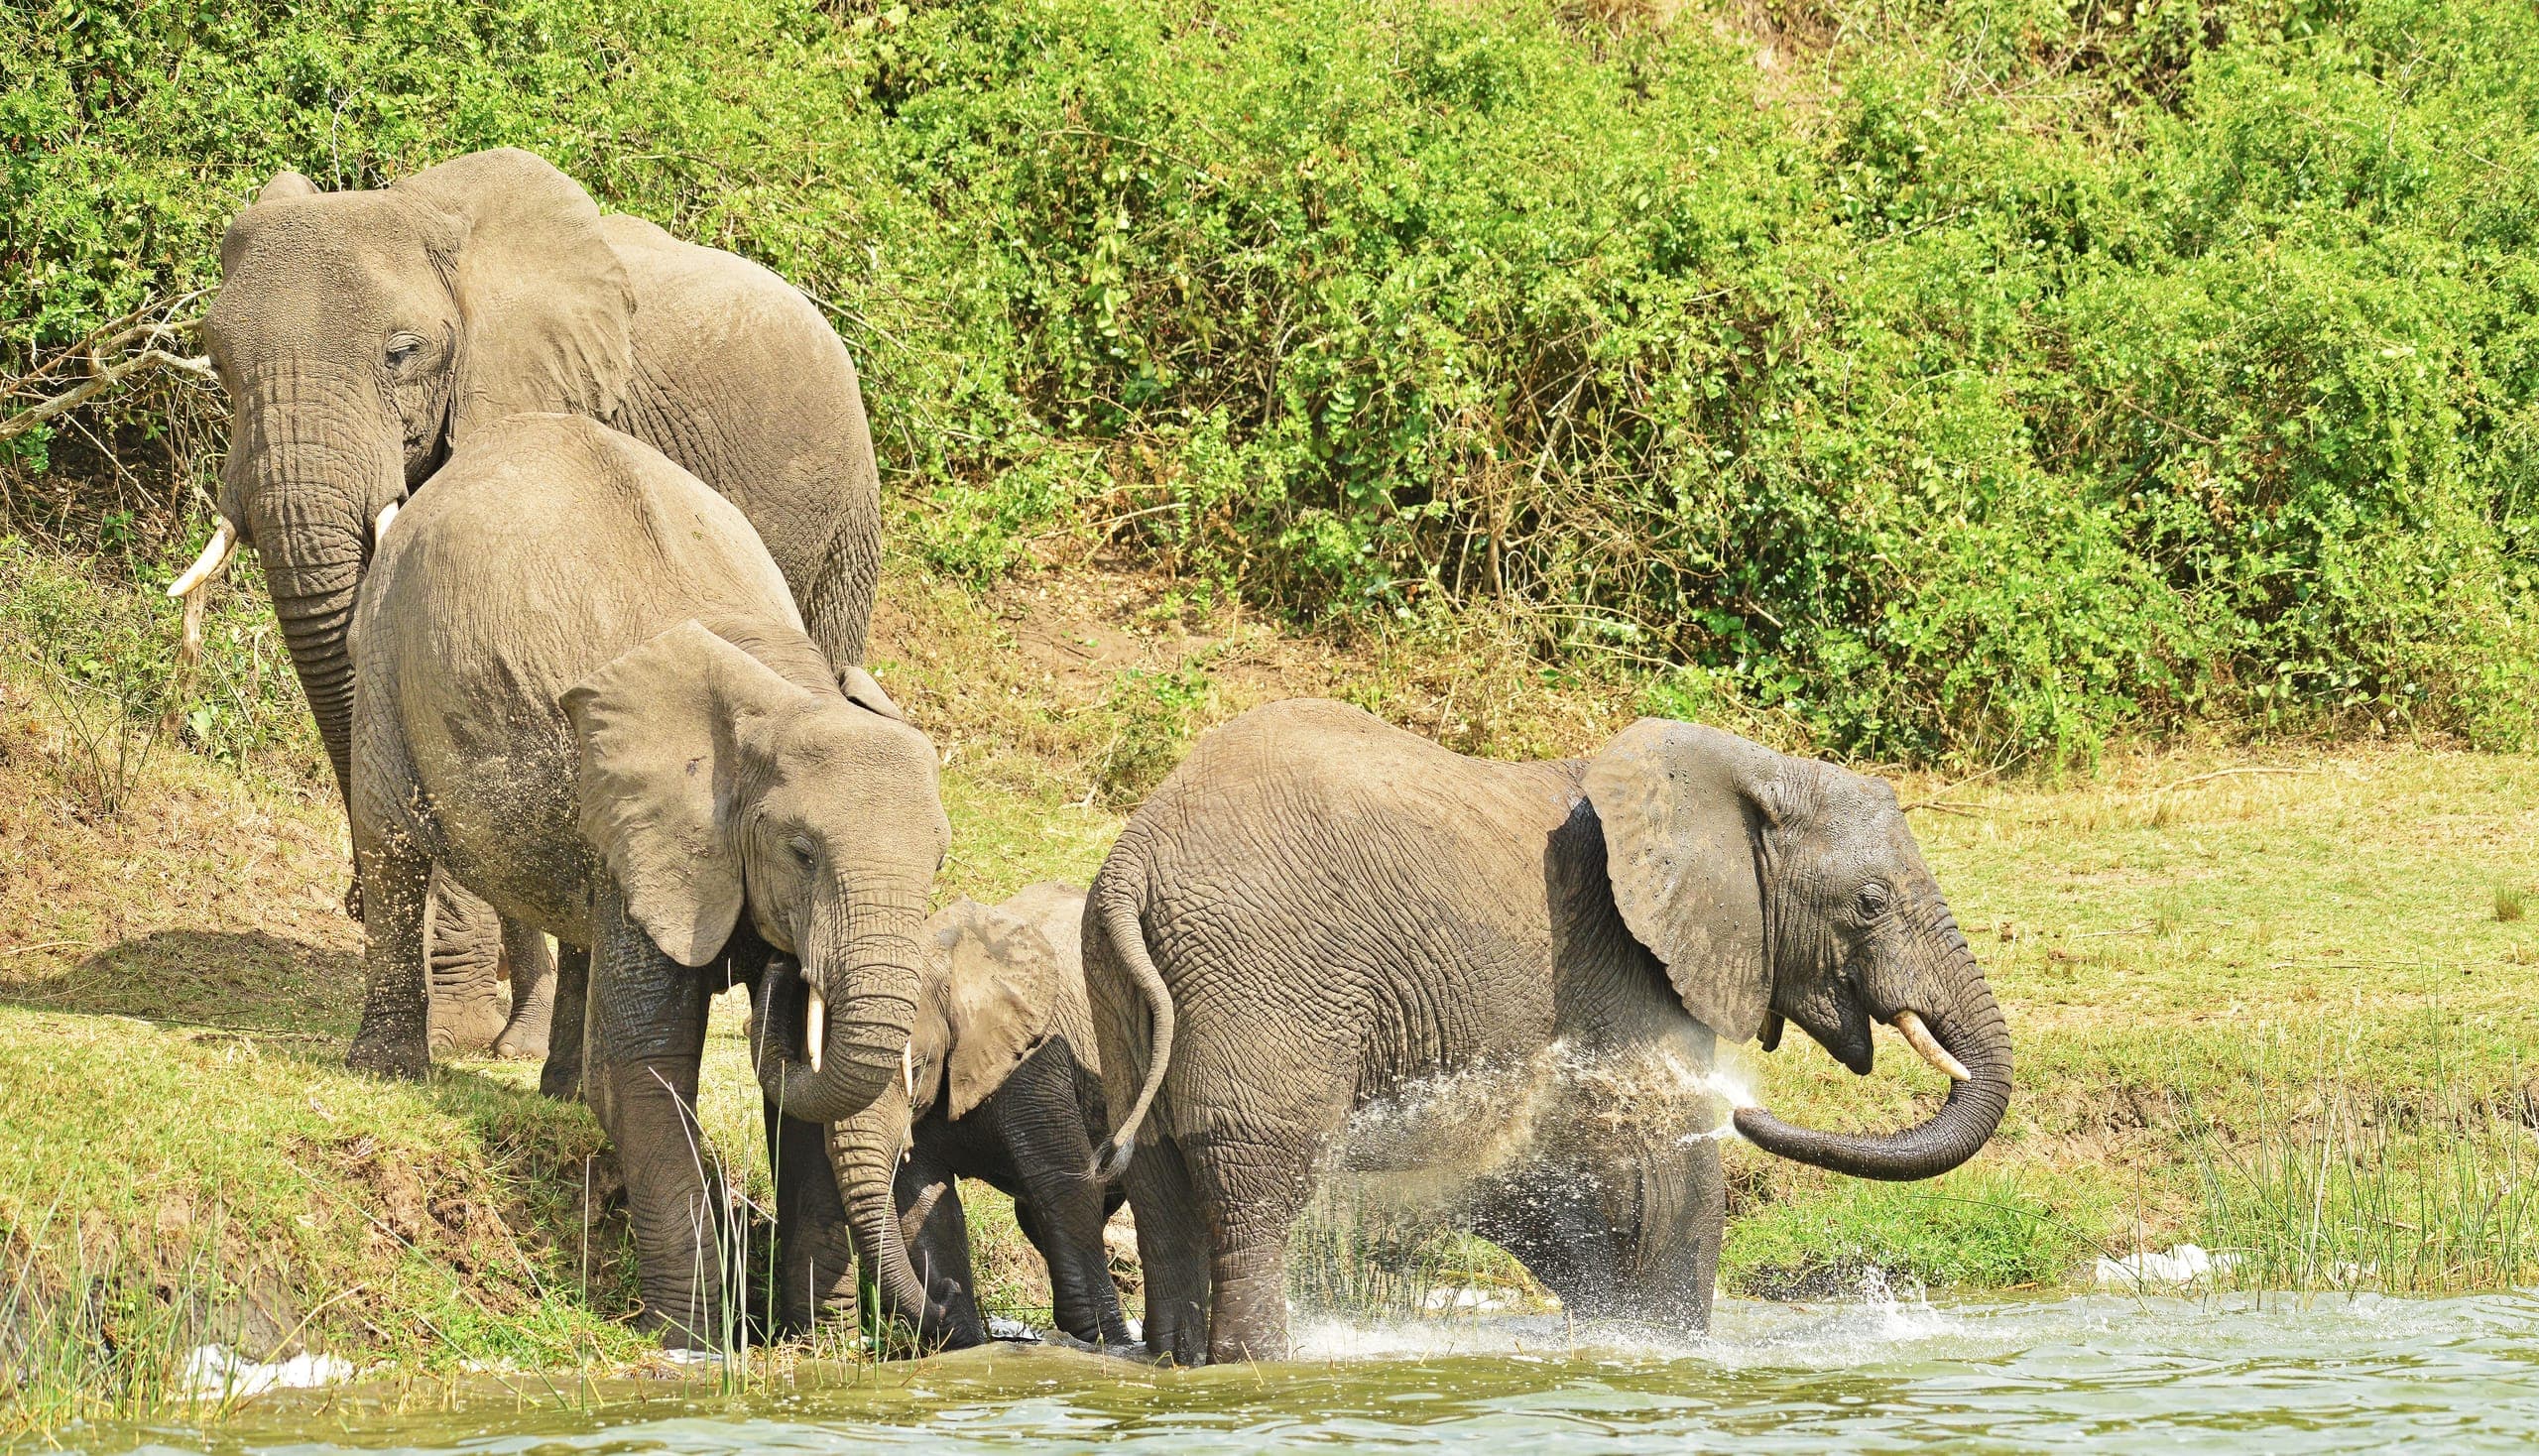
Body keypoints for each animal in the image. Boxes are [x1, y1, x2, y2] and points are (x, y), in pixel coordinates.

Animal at [180, 147, 884, 1074]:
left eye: (401, 354)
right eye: (218, 362)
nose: (349, 902)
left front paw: (481, 1036)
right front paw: (479, 1032)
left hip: (844, 517)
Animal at [350, 412, 940, 1348]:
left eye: (940, 866)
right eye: (802, 853)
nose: (789, 985)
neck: (786, 694)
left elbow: (810, 1103)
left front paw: (822, 1349)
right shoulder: (671, 837)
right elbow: (647, 1068)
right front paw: (690, 1340)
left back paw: (558, 1097)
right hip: (386, 644)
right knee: (391, 842)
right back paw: (388, 1070)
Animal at [759, 883, 1136, 1352]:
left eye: (917, 1068)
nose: (943, 1293)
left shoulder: (1035, 1062)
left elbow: (1063, 1184)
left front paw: (1111, 1346)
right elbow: (924, 1204)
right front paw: (968, 1345)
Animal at [1085, 699, 2012, 1365]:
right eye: (1870, 903)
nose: (1748, 1111)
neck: (1751, 769)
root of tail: (1135, 855)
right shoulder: (1624, 960)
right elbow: (1667, 1171)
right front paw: (1666, 1356)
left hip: (1126, 986)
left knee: (1160, 1183)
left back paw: (1175, 1364)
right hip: (1268, 971)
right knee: (1258, 1183)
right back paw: (1260, 1364)